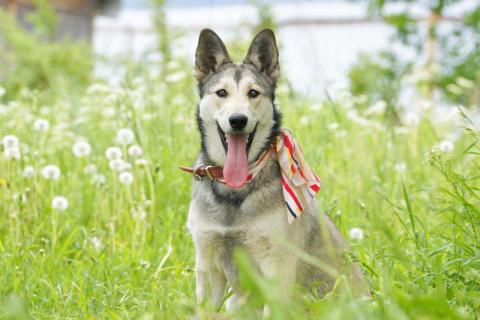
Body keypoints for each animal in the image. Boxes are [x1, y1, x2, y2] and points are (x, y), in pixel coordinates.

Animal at [185, 28, 368, 312]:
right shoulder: (208, 266)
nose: (238, 120)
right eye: (221, 92)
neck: (235, 192)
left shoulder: (276, 271)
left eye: (253, 93)